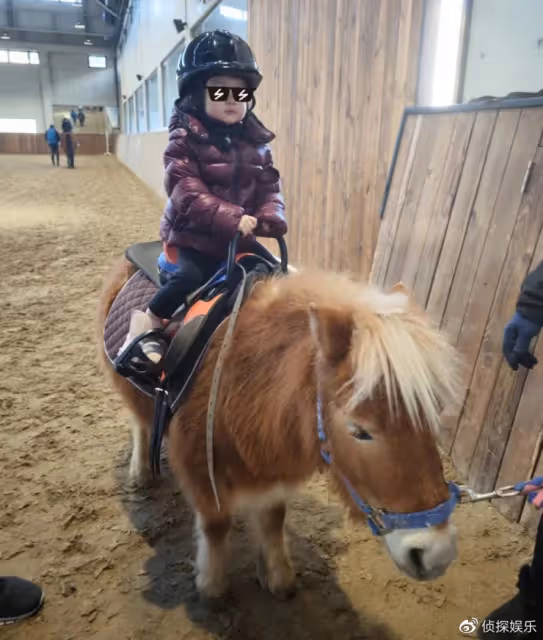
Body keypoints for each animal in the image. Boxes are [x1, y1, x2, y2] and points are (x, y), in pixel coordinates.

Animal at [98, 259, 462, 600]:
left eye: (432, 413)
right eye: (359, 431)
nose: (436, 553)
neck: (245, 376)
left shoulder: (270, 467)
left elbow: (274, 519)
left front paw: (277, 576)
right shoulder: (199, 467)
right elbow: (216, 524)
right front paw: (212, 585)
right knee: (139, 422)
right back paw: (141, 471)